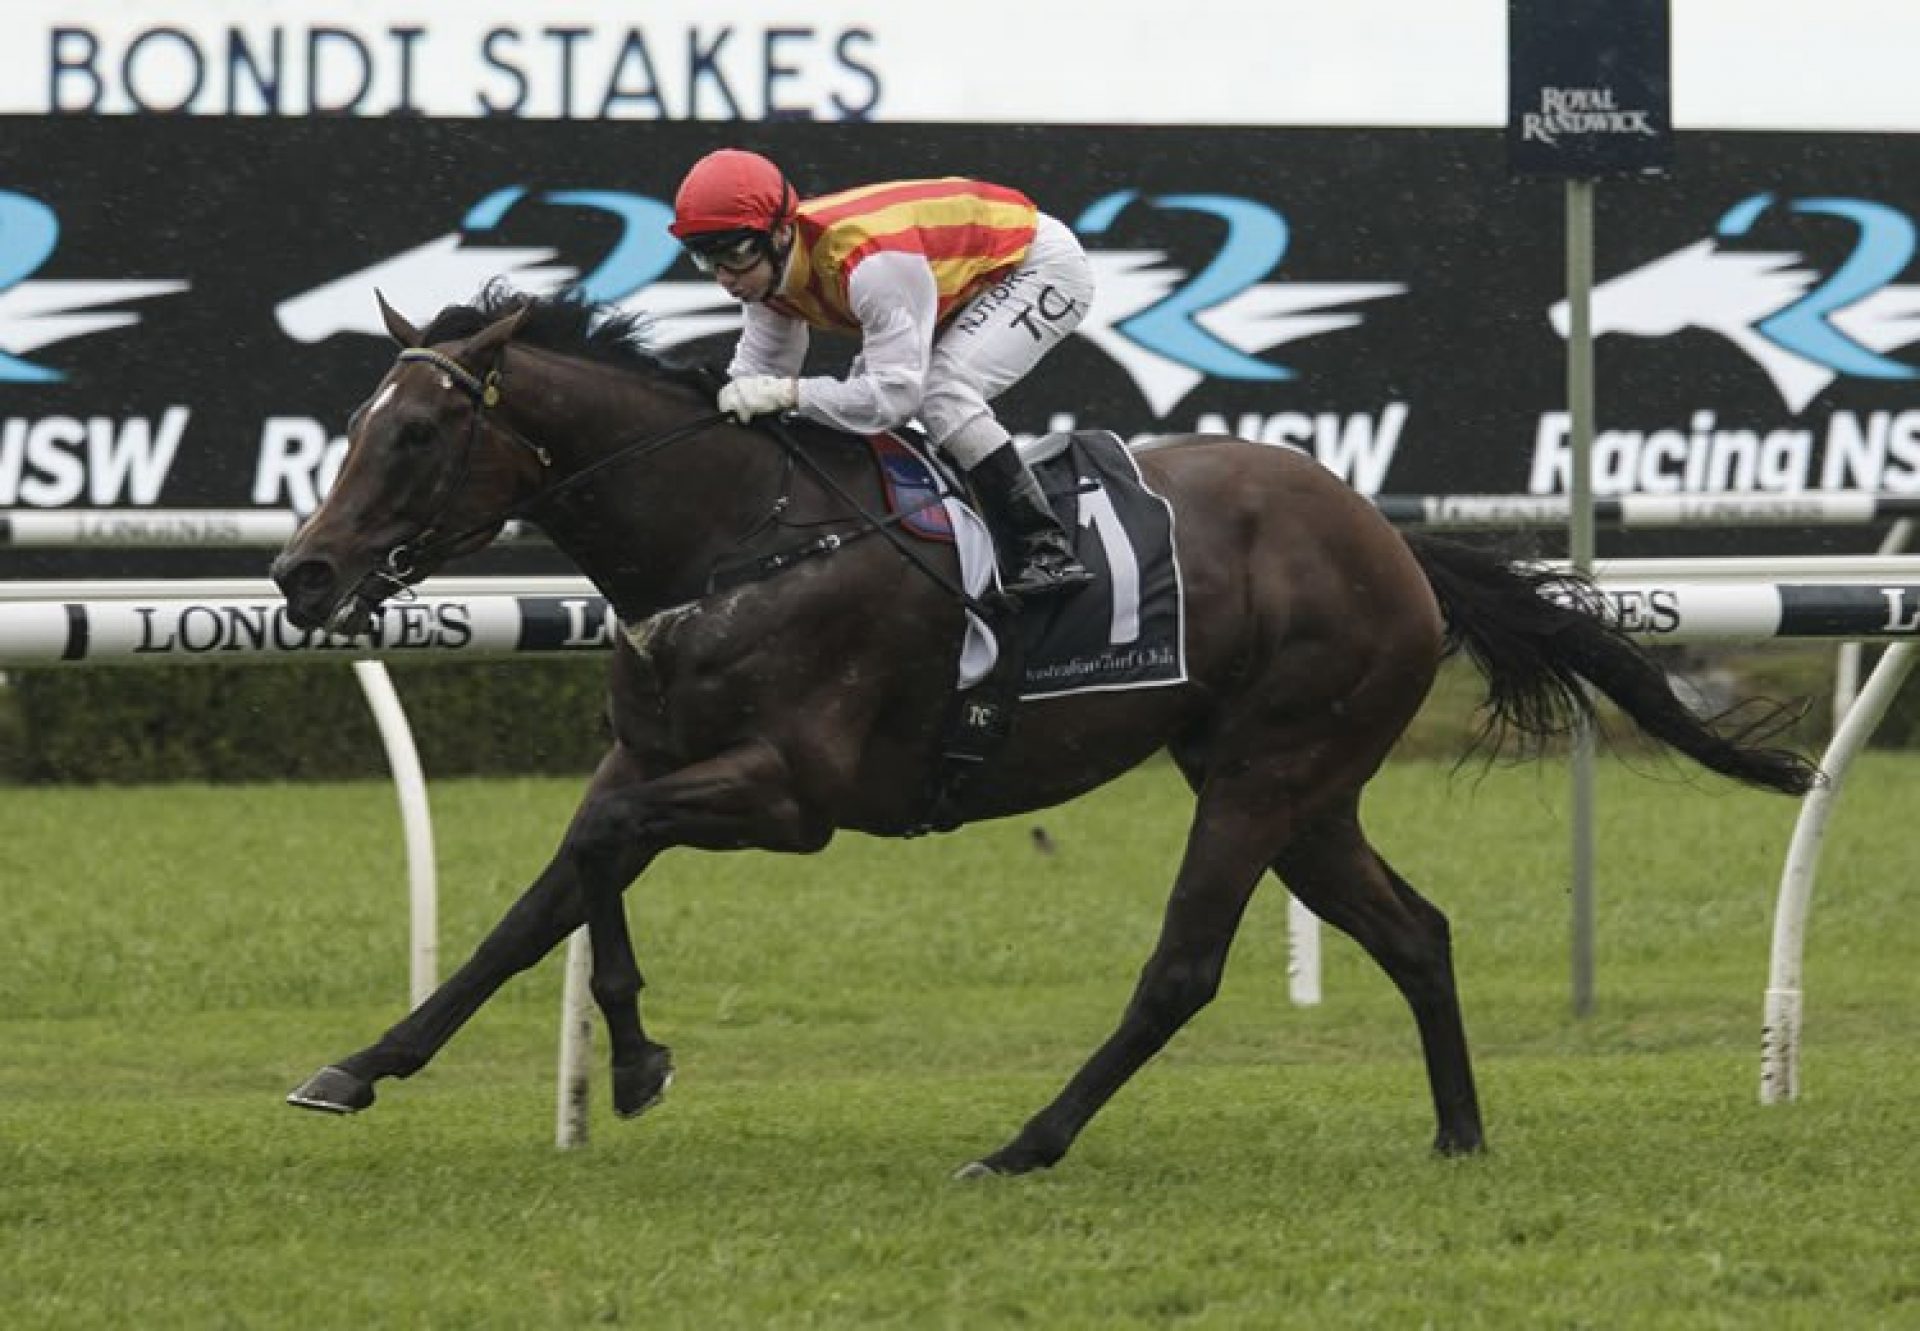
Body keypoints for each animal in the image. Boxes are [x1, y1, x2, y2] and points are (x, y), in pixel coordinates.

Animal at [266, 288, 1812, 1175]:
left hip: (1265, 772)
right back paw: (1461, 1131)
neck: (737, 535)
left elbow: (598, 846)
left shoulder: (792, 793)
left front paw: (639, 1057)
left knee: (1182, 968)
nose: (303, 573)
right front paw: (364, 1064)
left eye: (414, 435)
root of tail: (1392, 538)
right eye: (353, 422)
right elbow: (540, 900)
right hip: (1302, 788)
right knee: (1417, 931)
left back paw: (1025, 1143)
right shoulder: (654, 753)